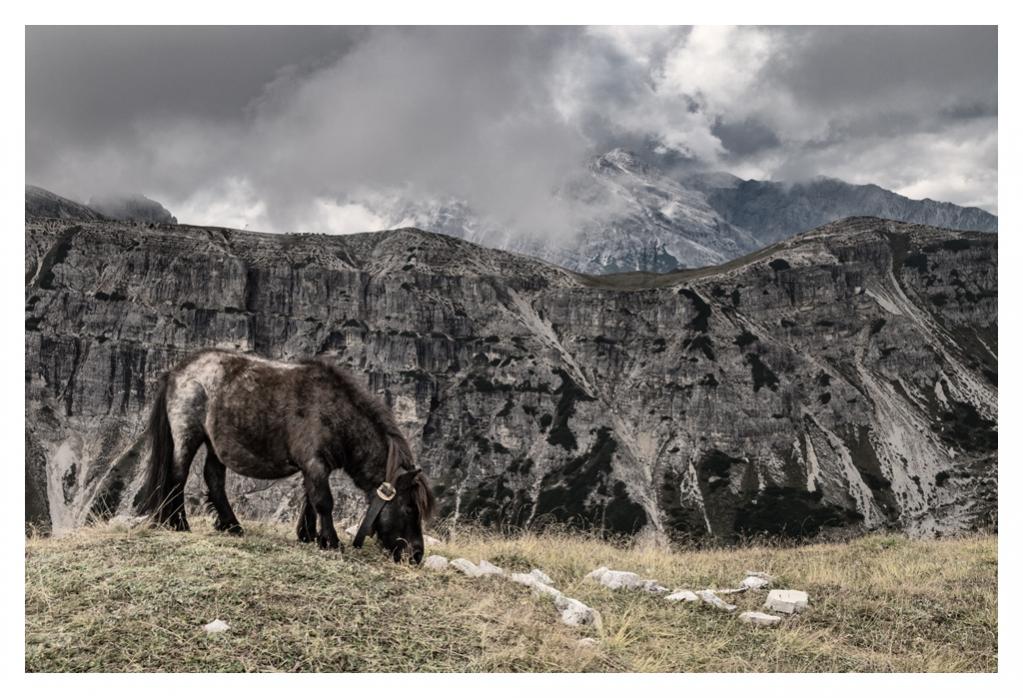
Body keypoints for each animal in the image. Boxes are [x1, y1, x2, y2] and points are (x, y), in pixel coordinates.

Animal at [135, 348, 434, 563]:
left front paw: (309, 536)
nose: (416, 555)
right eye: (410, 508)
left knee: (214, 479)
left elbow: (310, 499)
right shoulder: (315, 463)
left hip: (213, 443)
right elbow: (324, 501)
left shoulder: (313, 467)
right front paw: (331, 542)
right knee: (178, 476)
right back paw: (180, 523)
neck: (336, 414)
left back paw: (232, 526)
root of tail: (176, 371)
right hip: (188, 435)